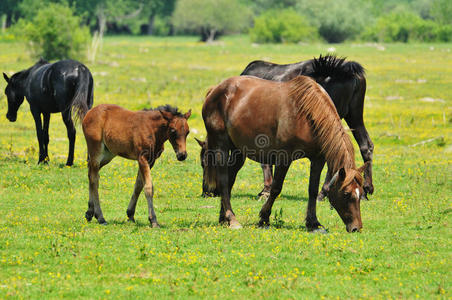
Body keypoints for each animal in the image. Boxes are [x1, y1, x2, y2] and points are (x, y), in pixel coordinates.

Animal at [200, 75, 370, 232]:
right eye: (346, 194)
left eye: (361, 193)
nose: (356, 228)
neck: (307, 115)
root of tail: (216, 90)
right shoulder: (284, 157)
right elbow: (276, 188)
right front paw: (264, 219)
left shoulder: (318, 159)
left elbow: (312, 190)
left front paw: (313, 223)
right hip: (221, 145)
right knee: (223, 180)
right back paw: (232, 219)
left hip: (238, 151)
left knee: (230, 179)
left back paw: (223, 218)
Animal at [240, 54, 374, 199]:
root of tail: (349, 70)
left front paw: (266, 190)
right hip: (354, 115)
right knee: (365, 145)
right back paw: (366, 188)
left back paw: (324, 192)